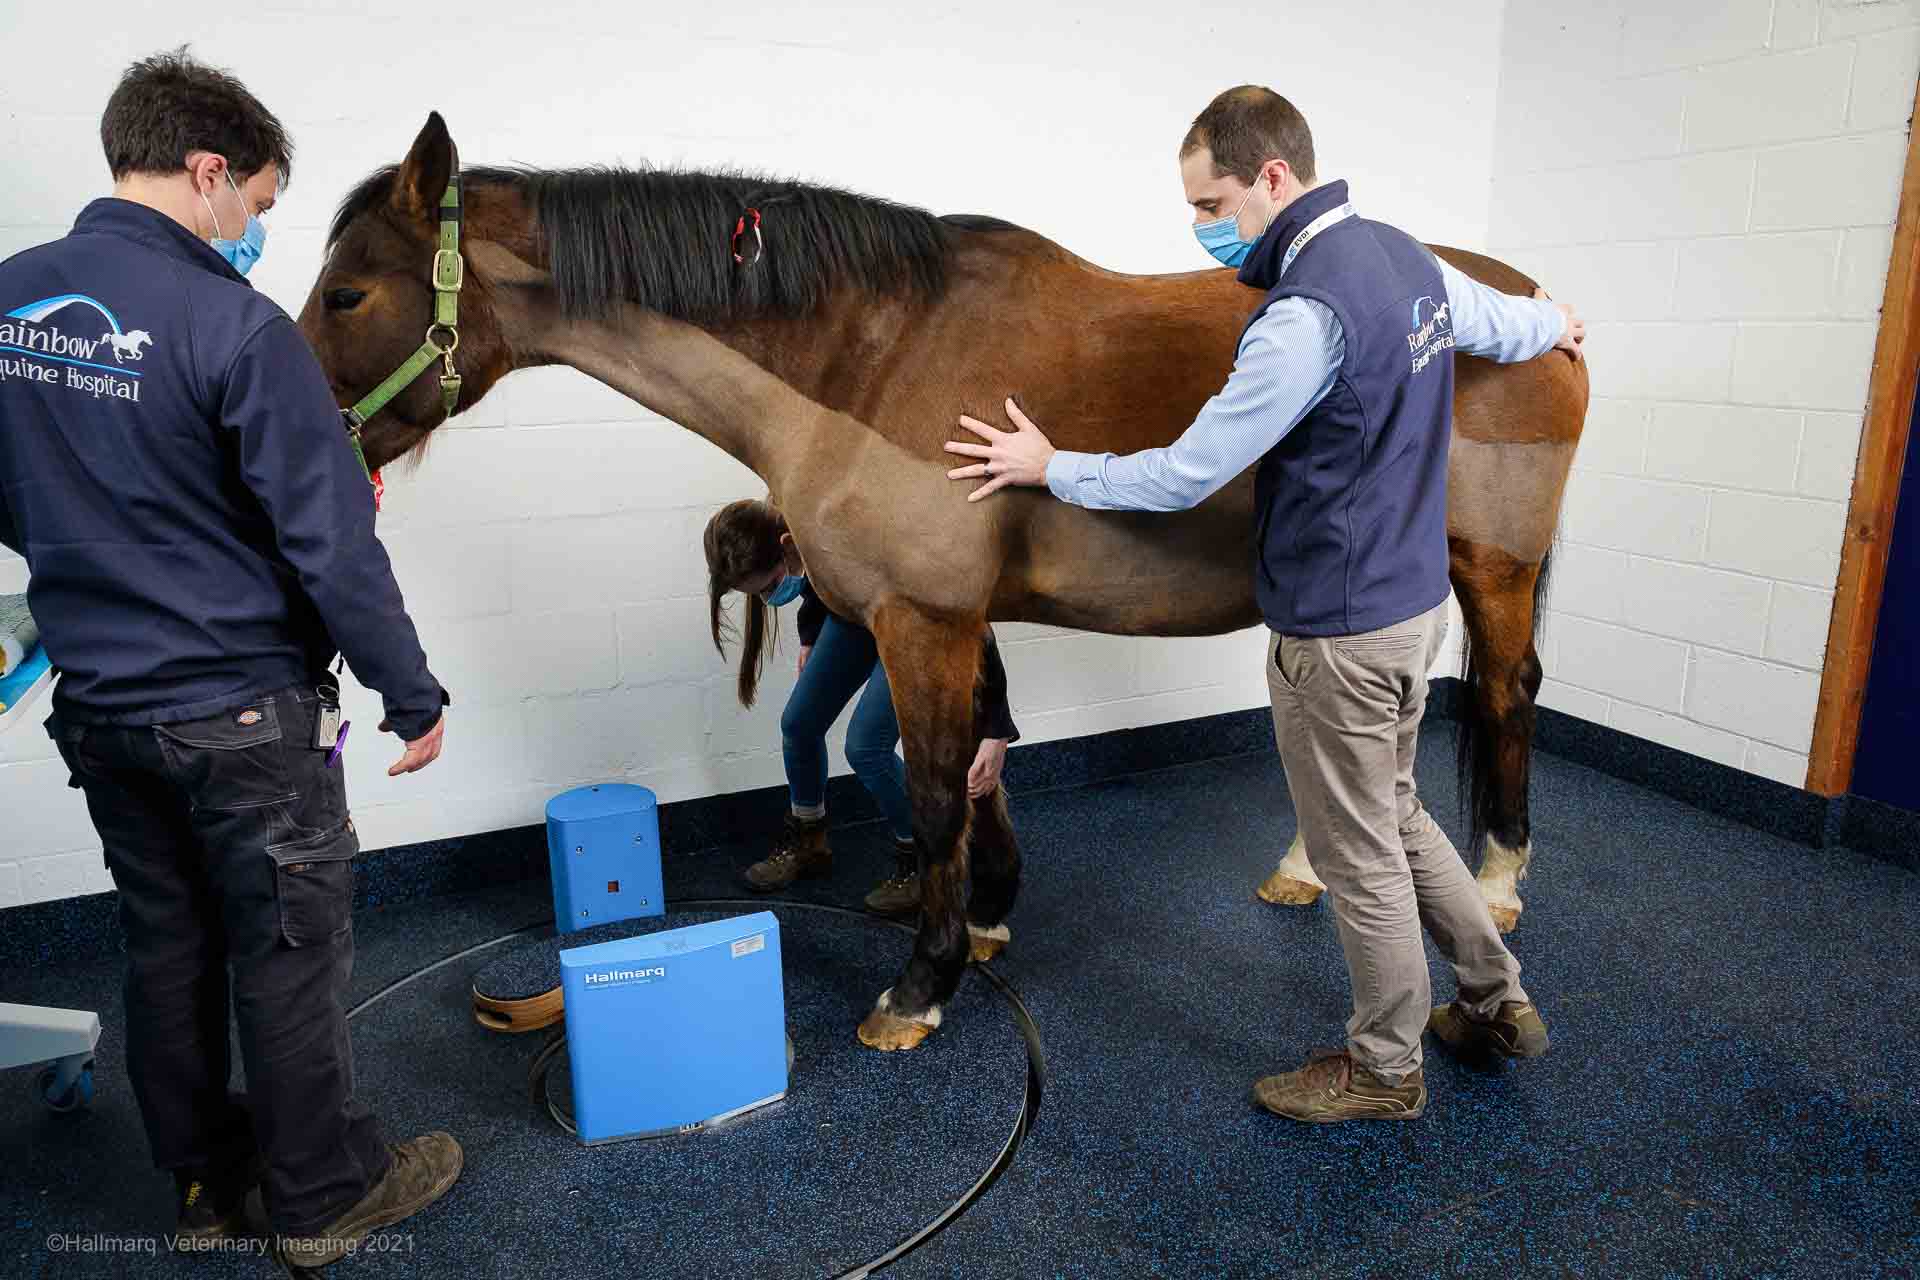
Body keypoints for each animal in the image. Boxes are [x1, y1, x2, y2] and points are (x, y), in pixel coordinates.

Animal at [297, 114, 1586, 1051]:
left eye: (350, 292)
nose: (304, 443)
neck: (872, 355)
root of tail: (1535, 312)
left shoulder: (923, 619)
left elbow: (929, 787)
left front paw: (921, 984)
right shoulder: (958, 622)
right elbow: (980, 771)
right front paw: (990, 915)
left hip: (1494, 570)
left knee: (1507, 694)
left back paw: (1499, 886)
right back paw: (1307, 869)